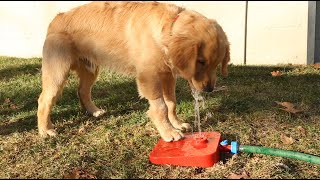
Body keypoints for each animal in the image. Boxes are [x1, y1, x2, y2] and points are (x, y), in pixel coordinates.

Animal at [36, 1, 229, 142]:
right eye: (201, 61)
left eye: (217, 64)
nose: (209, 89)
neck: (166, 29)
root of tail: (56, 18)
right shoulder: (148, 78)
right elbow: (160, 107)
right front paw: (169, 132)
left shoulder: (167, 75)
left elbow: (171, 103)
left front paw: (177, 123)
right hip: (57, 72)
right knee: (44, 99)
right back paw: (46, 130)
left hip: (90, 69)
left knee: (82, 90)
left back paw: (93, 111)